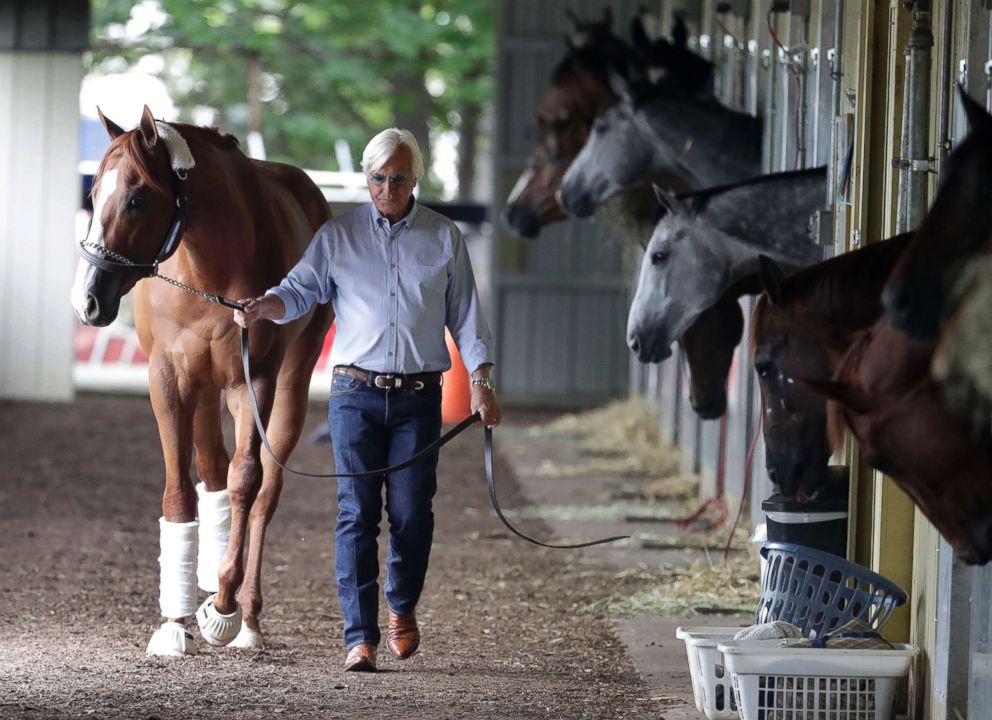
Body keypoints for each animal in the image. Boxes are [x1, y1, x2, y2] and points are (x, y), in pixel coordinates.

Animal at [70, 105, 336, 652]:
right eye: (94, 193)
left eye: (136, 198)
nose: (87, 300)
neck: (207, 269)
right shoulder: (169, 380)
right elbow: (179, 490)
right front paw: (174, 622)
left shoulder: (254, 382)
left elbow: (246, 481)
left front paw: (225, 604)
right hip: (206, 390)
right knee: (212, 469)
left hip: (285, 387)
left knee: (263, 490)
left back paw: (246, 615)